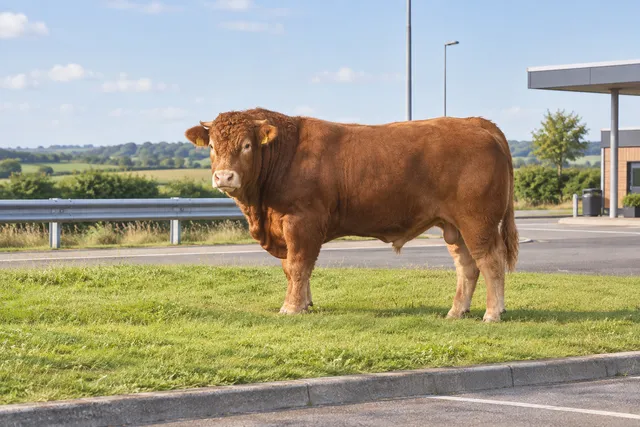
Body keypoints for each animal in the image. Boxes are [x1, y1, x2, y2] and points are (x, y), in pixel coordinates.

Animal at [184, 108, 518, 322]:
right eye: (211, 145)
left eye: (247, 145)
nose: (224, 177)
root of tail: (478, 123)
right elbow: (292, 269)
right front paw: (305, 304)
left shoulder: (302, 223)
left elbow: (298, 266)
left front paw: (291, 308)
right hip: (454, 226)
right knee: (467, 266)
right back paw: (456, 311)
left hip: (478, 221)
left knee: (490, 261)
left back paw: (492, 313)